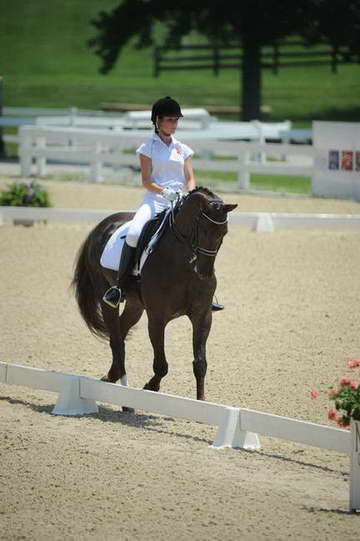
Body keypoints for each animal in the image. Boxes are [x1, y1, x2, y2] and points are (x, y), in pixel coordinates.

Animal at [71, 187, 238, 400]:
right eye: (203, 229)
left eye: (224, 233)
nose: (204, 273)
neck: (183, 262)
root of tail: (102, 225)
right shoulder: (157, 317)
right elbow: (161, 365)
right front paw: (151, 386)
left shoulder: (203, 316)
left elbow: (200, 363)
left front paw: (201, 401)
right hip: (105, 296)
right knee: (116, 337)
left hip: (135, 304)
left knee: (121, 332)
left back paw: (113, 375)